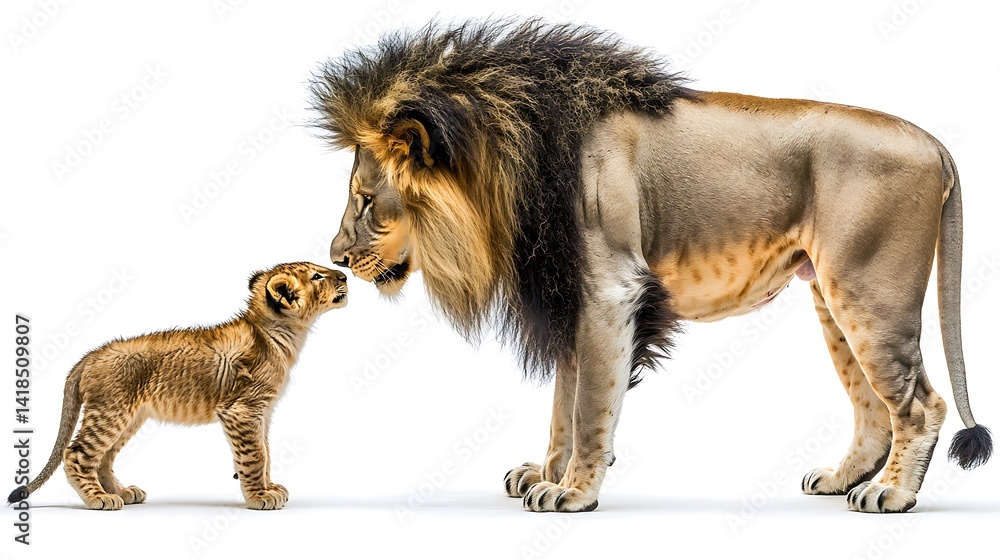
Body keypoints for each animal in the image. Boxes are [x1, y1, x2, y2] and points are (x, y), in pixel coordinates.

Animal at [7, 263, 347, 510]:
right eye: (317, 276)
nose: (344, 275)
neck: (283, 333)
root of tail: (88, 357)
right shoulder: (240, 410)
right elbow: (255, 456)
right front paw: (259, 497)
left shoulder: (262, 410)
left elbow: (265, 450)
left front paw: (269, 487)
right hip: (110, 411)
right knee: (77, 453)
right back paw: (99, 498)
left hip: (129, 416)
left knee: (103, 457)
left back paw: (122, 492)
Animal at [311, 20, 992, 513]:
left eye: (366, 201)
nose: (335, 258)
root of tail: (934, 144)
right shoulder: (573, 296)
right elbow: (564, 400)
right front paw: (546, 471)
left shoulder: (610, 289)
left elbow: (590, 404)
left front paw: (573, 492)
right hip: (831, 295)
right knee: (873, 406)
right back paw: (840, 480)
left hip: (869, 290)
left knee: (920, 404)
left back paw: (892, 493)